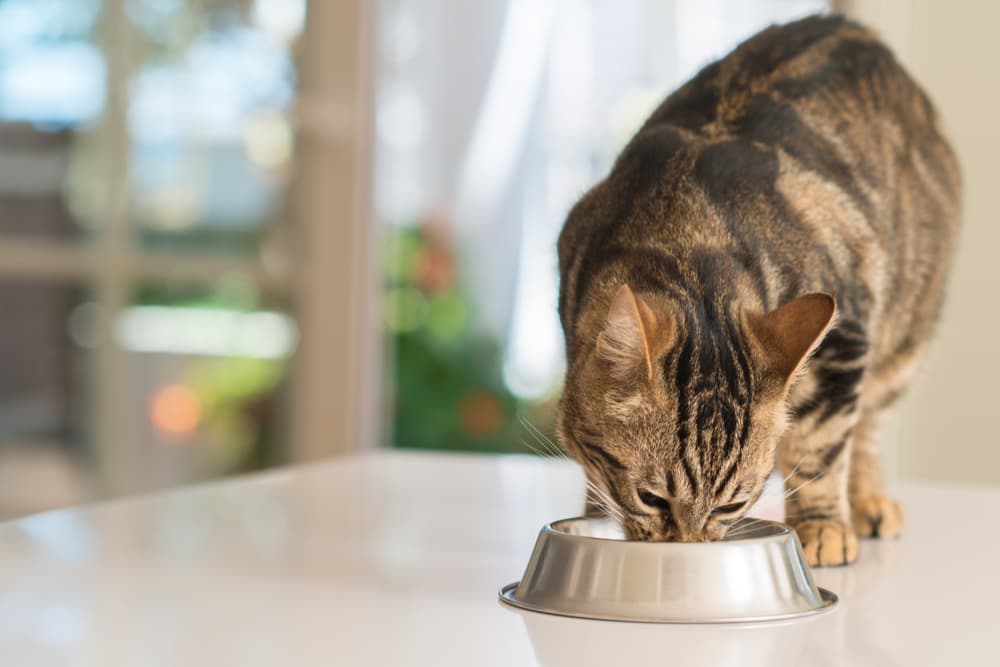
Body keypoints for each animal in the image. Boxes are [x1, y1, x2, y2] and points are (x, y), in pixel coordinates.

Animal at [556, 15, 960, 568]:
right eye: (651, 497)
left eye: (732, 505)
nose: (686, 550)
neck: (687, 229)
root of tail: (855, 26)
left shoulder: (846, 336)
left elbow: (822, 444)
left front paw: (823, 526)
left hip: (903, 341)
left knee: (869, 423)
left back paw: (868, 501)